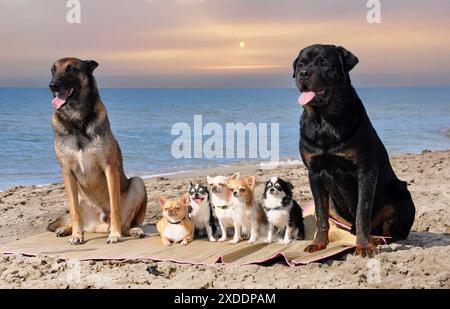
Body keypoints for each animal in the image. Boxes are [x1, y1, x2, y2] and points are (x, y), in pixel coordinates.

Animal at [294, 43, 416, 255]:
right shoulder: (314, 173)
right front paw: (319, 243)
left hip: (401, 195)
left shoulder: (366, 171)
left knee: (393, 233)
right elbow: (320, 214)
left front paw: (364, 245)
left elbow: (362, 212)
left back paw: (375, 239)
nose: (303, 73)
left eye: (322, 63)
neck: (324, 121)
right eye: (301, 64)